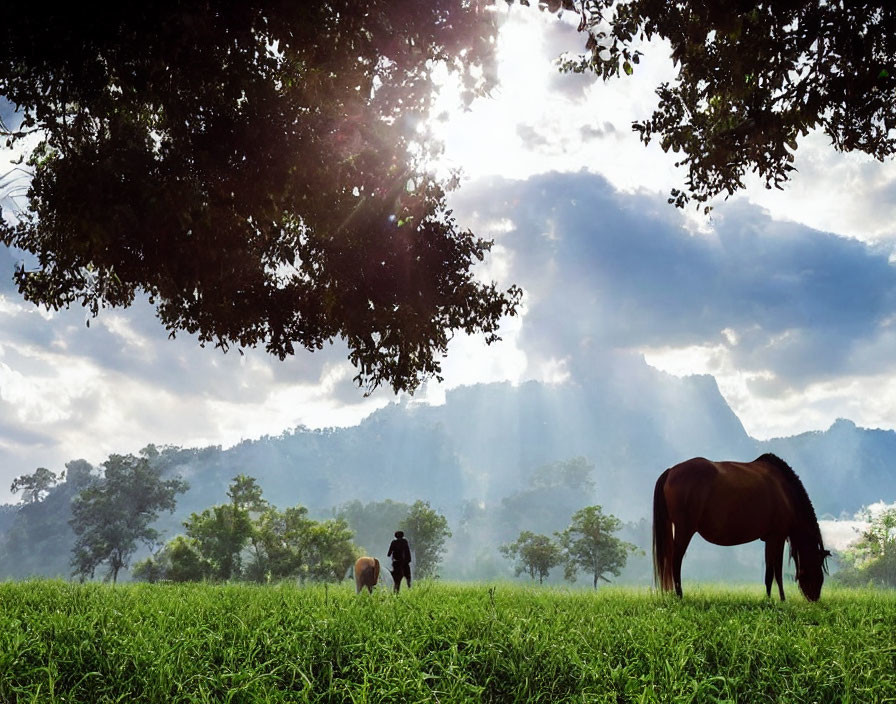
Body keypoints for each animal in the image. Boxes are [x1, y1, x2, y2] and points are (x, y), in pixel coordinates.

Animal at [652, 456, 832, 600]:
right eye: (818, 568)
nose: (814, 597)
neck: (785, 491)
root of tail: (670, 471)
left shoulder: (769, 538)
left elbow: (769, 571)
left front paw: (768, 599)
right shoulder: (778, 536)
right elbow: (777, 571)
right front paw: (782, 599)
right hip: (684, 530)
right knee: (676, 561)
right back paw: (679, 595)